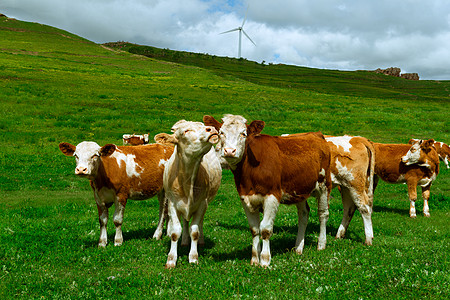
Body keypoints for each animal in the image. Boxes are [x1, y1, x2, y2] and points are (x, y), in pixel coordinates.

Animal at [154, 120, 222, 268]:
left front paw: (194, 257)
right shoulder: (172, 204)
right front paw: (171, 259)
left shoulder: (202, 203)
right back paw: (185, 241)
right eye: (186, 131)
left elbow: (195, 230)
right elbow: (175, 232)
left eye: (202, 126)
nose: (211, 129)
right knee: (185, 222)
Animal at [204, 115, 330, 268]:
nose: (229, 151)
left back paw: (321, 244)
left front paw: (265, 259)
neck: (249, 173)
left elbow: (265, 229)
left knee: (323, 214)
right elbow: (254, 229)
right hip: (299, 189)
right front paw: (254, 259)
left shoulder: (272, 196)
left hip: (324, 185)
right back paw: (298, 248)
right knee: (304, 214)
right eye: (221, 133)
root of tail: (316, 134)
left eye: (243, 134)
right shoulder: (245, 198)